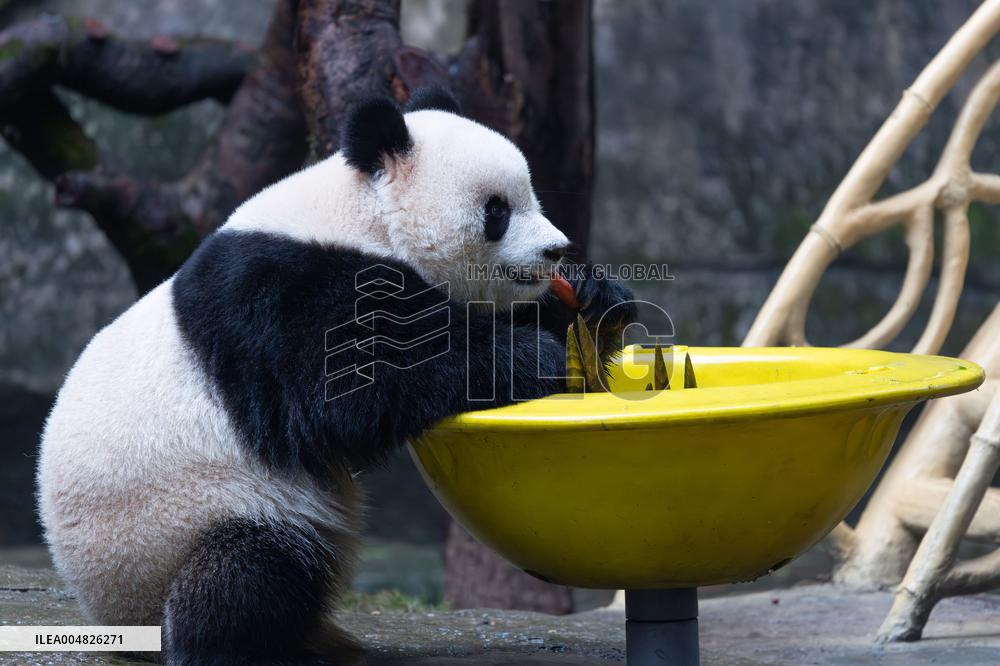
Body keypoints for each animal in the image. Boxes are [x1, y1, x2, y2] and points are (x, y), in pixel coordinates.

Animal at [37, 87, 635, 664]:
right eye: (497, 210)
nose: (556, 249)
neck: (362, 214)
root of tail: (115, 616)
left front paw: (594, 300)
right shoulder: (278, 296)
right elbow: (349, 390)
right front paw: (535, 358)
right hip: (184, 519)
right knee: (250, 568)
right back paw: (245, 648)